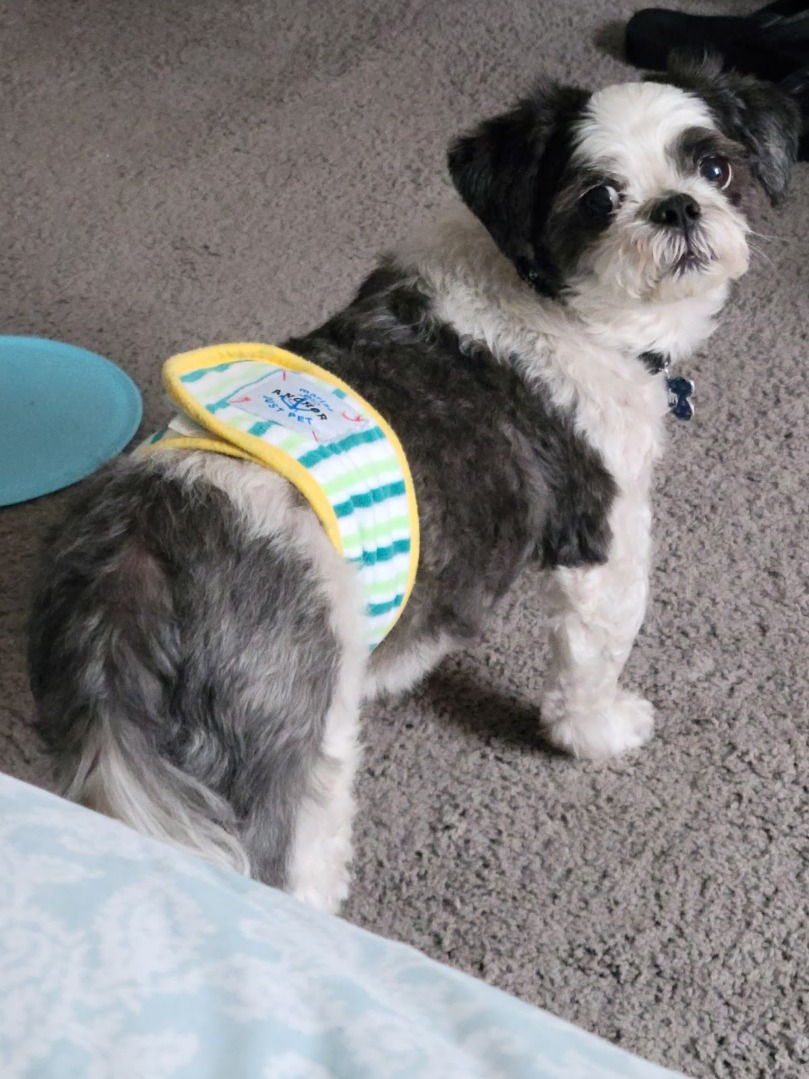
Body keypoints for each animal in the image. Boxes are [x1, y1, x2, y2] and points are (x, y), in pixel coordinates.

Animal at [28, 54, 799, 912]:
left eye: (714, 167)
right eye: (600, 199)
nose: (677, 206)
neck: (548, 296)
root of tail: (132, 575)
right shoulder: (605, 540)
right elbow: (593, 656)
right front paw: (598, 730)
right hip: (286, 752)